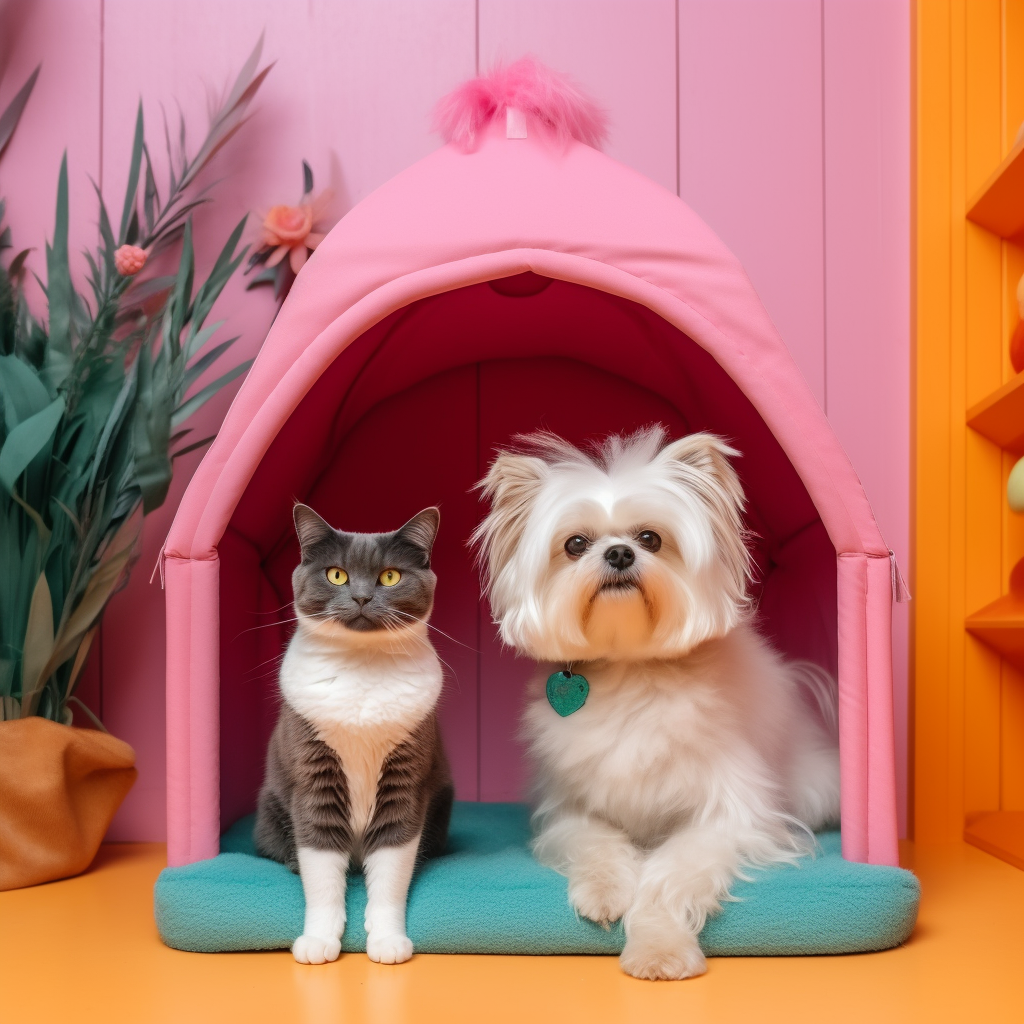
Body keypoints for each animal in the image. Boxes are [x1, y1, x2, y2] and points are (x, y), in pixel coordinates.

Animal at [254, 503, 452, 966]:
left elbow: (393, 870)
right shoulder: (313, 773)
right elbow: (322, 871)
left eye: (390, 576)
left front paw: (388, 940)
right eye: (337, 575)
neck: (362, 667)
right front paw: (318, 940)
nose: (361, 597)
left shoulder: (406, 778)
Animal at [471, 428, 839, 978]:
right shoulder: (570, 811)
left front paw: (659, 949)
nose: (620, 554)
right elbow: (598, 843)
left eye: (650, 539)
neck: (632, 668)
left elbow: (668, 876)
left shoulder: (727, 817)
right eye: (575, 544)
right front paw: (604, 892)